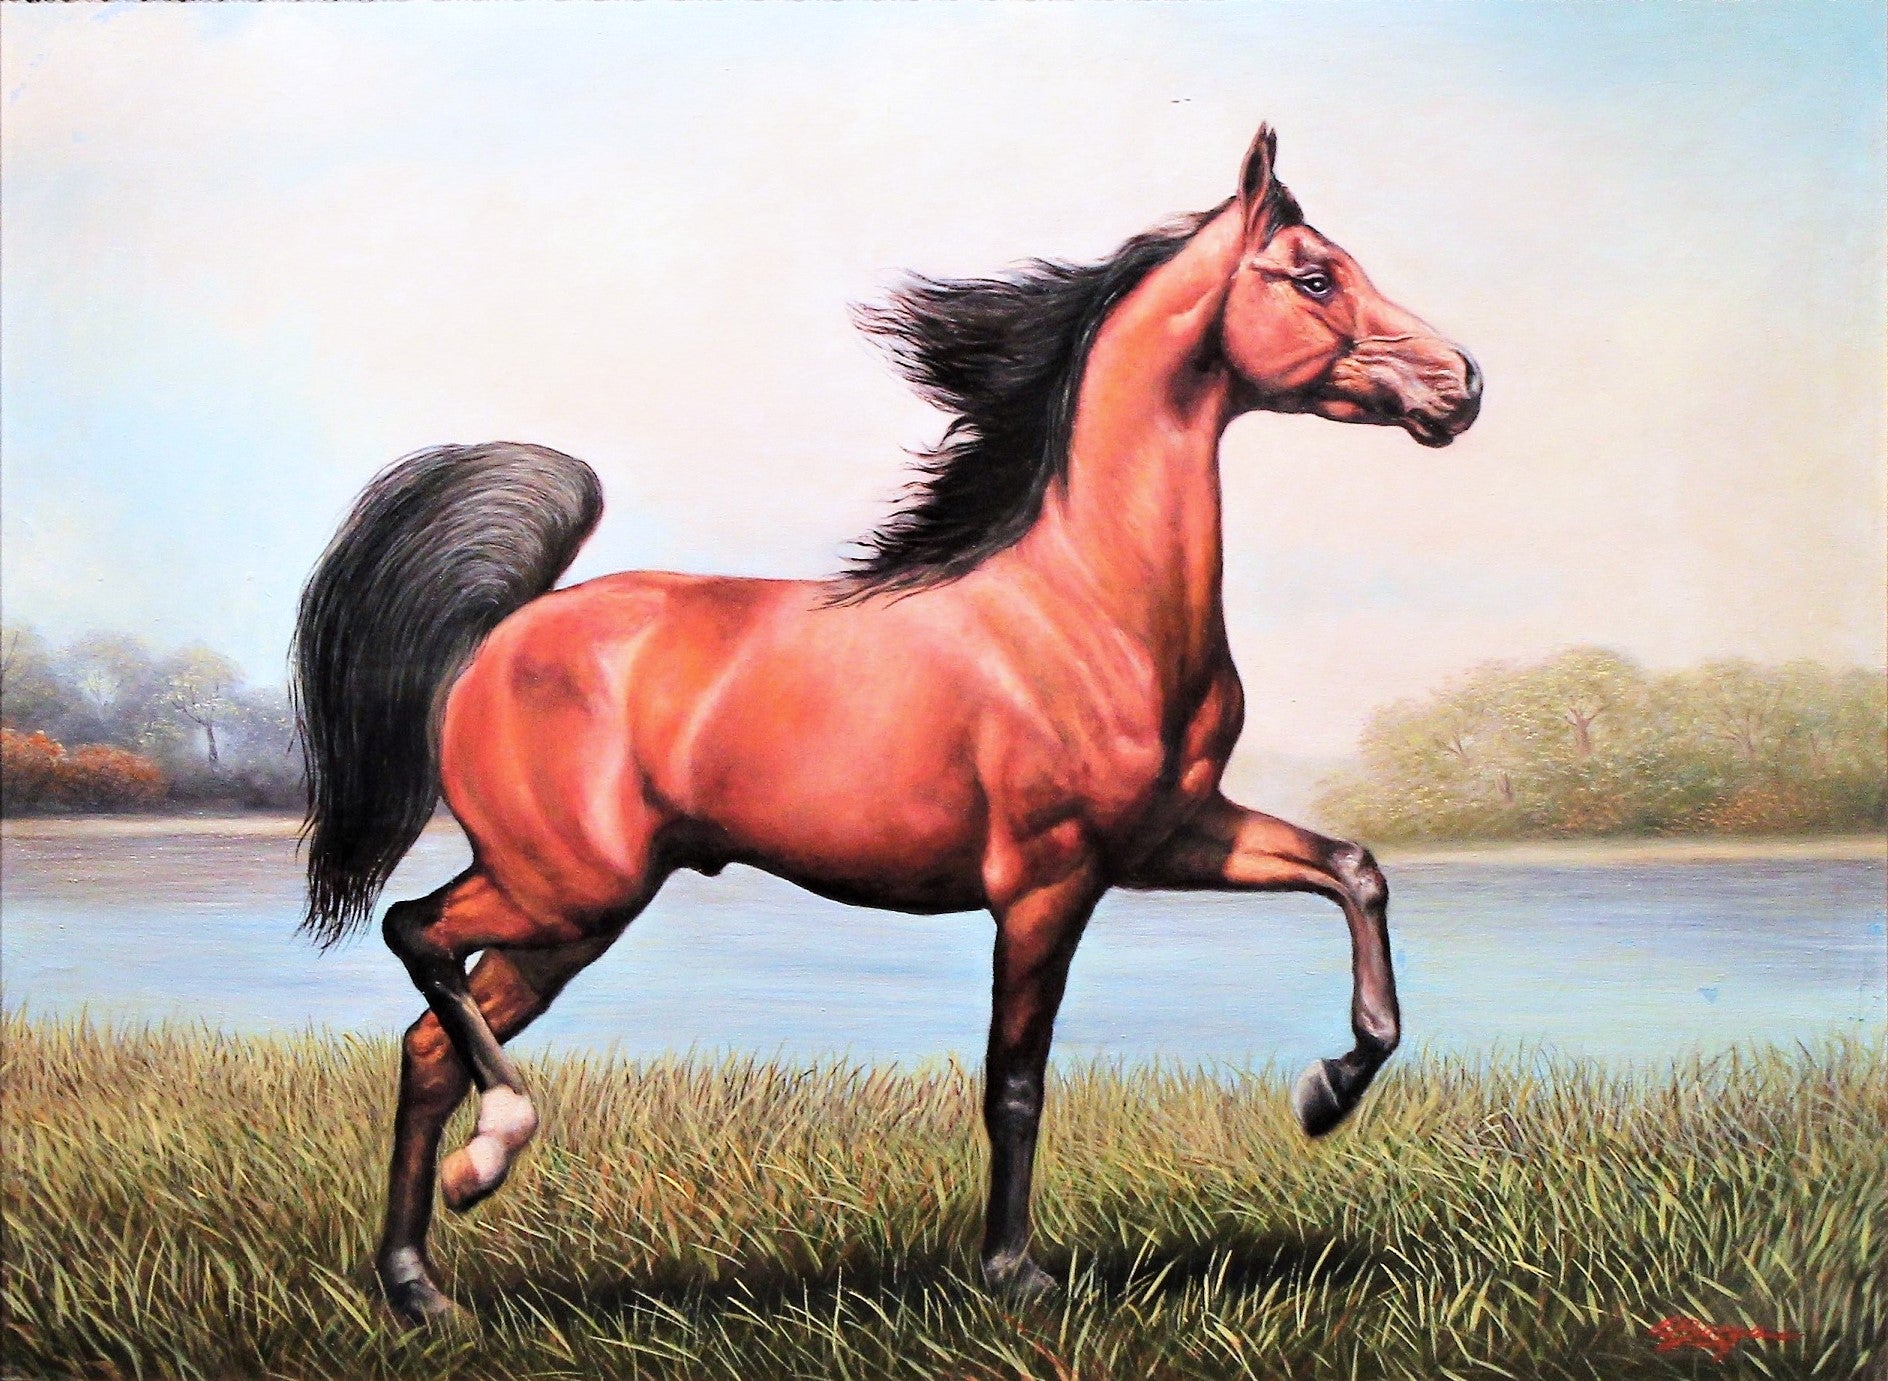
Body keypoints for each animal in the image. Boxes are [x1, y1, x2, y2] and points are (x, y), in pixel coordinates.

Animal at [293, 124, 1481, 1324]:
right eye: (1315, 276)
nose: (1462, 384)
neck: (1091, 600)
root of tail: (499, 628)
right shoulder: (1047, 880)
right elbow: (1015, 1079)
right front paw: (1015, 1273)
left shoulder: (1170, 836)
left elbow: (1353, 869)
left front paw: (1327, 1090)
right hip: (564, 882)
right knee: (415, 936)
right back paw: (486, 1158)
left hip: (575, 915)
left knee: (429, 1041)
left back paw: (420, 1285)